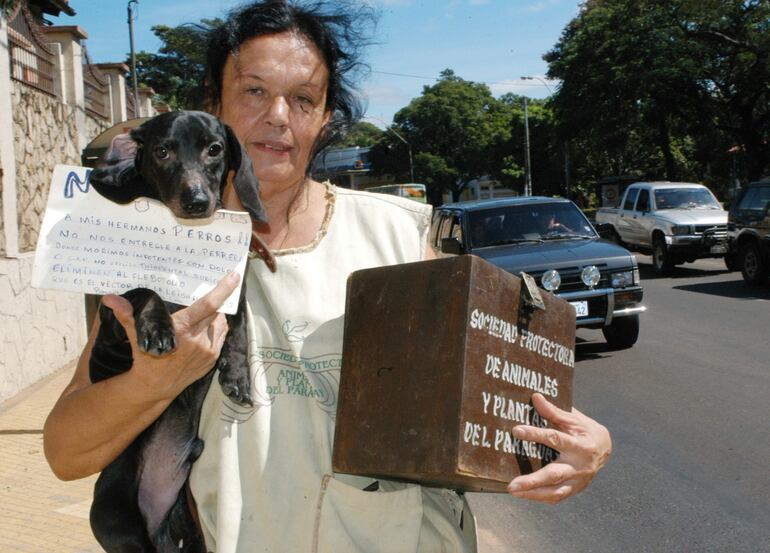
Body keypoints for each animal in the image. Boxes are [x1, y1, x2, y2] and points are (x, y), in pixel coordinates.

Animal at [86, 110, 274, 548]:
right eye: (162, 151)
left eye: (215, 149)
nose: (197, 202)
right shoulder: (114, 317)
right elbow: (147, 288)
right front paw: (158, 326)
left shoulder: (234, 294)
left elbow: (239, 333)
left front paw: (237, 377)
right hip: (119, 523)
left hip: (188, 531)